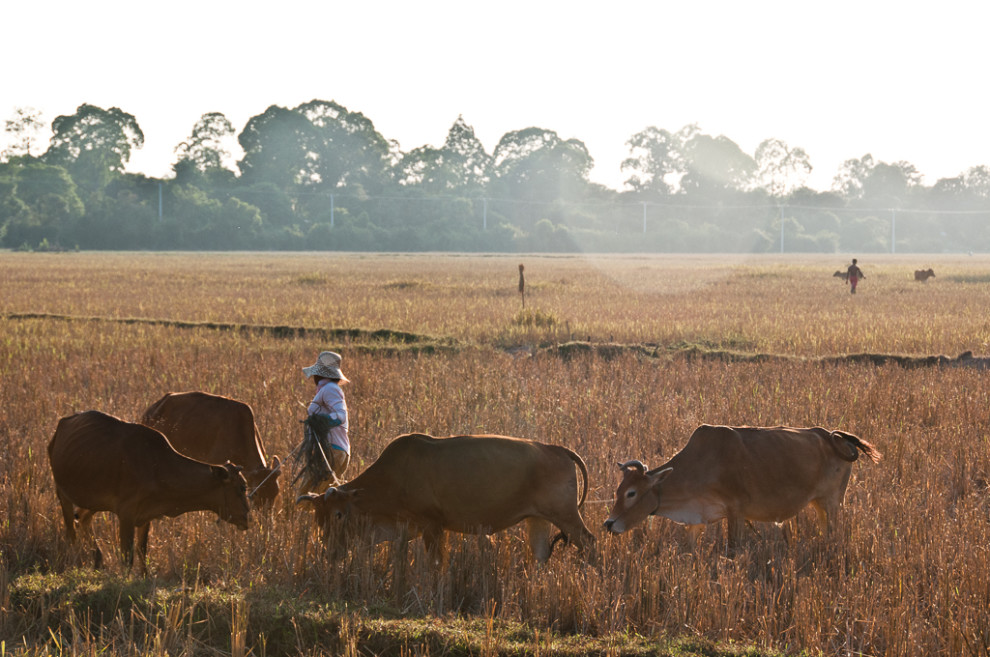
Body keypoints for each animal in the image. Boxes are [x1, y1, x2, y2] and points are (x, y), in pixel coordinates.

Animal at [50, 408, 252, 572]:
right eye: (242, 487)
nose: (247, 517)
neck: (159, 467)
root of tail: (61, 425)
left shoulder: (147, 515)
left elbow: (141, 551)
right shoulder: (126, 513)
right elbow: (127, 557)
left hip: (91, 500)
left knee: (82, 519)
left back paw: (98, 559)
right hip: (62, 493)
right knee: (71, 532)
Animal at [292, 430, 588, 564]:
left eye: (339, 514)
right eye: (318, 518)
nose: (330, 552)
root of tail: (558, 449)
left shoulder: (432, 526)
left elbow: (436, 563)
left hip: (567, 516)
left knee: (590, 543)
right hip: (538, 519)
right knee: (541, 554)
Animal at [604, 422, 884, 544]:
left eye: (631, 493)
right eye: (618, 491)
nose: (609, 524)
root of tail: (832, 436)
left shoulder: (735, 512)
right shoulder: (697, 519)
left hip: (832, 502)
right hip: (819, 504)